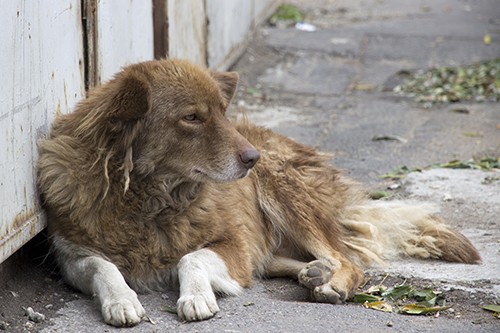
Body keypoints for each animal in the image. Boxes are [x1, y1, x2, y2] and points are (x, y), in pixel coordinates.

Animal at [36, 58, 480, 326]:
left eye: (222, 113)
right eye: (192, 118)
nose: (251, 158)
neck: (149, 199)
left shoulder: (232, 243)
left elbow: (191, 258)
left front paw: (195, 297)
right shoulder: (70, 254)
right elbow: (104, 266)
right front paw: (122, 300)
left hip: (281, 191)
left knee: (348, 259)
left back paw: (332, 281)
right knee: (288, 260)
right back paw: (312, 273)